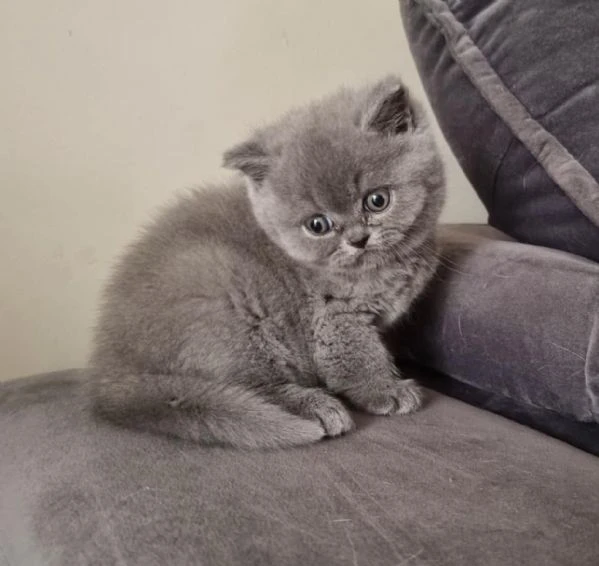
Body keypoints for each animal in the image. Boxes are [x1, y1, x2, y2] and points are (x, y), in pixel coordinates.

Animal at [89, 76, 446, 448]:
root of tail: (109, 371)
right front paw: (386, 390)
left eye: (377, 200)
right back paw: (317, 407)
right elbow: (357, 357)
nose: (358, 239)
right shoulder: (334, 317)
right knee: (253, 386)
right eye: (318, 225)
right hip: (231, 312)